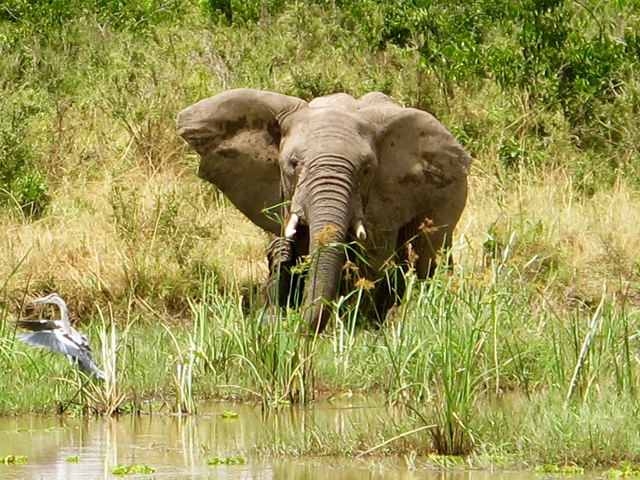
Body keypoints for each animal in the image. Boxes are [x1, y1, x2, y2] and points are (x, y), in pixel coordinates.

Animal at [177, 89, 470, 333]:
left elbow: (372, 259)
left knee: (430, 255)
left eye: (366, 170)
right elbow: (285, 245)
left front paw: (358, 326)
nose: (292, 326)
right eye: (293, 164)